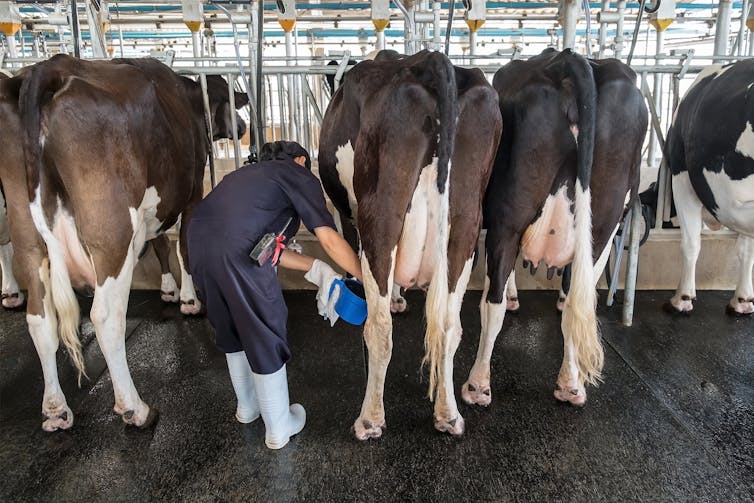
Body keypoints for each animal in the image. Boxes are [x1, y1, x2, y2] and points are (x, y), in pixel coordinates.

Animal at [0, 56, 247, 434]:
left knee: (39, 319)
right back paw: (135, 408)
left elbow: (161, 244)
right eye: (229, 102)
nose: (244, 126)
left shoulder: (158, 201)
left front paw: (168, 290)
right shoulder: (191, 193)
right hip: (111, 233)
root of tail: (51, 68)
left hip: (27, 233)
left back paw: (55, 408)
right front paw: (189, 300)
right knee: (104, 316)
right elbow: (183, 248)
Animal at [316, 49, 500, 440]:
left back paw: (370, 418)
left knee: (380, 329)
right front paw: (400, 297)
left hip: (379, 216)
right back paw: (448, 414)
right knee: (449, 327)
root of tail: (431, 60)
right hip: (465, 226)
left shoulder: (347, 214)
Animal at [462, 48, 644, 410]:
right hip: (602, 224)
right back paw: (571, 384)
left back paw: (478, 384)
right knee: (577, 301)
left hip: (508, 216)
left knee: (495, 302)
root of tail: (569, 60)